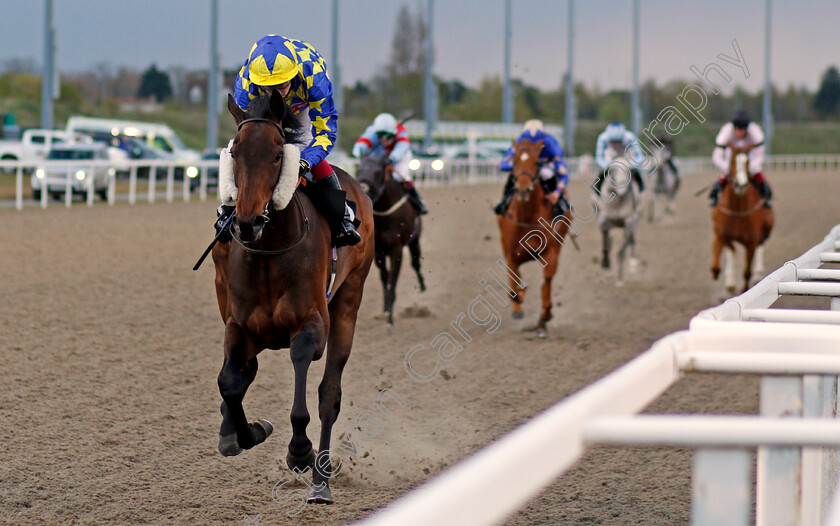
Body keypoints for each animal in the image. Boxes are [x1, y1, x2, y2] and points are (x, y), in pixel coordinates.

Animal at [210, 92, 374, 508]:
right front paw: (248, 430)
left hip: (349, 301)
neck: (270, 249)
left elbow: (301, 369)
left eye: (275, 156)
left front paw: (299, 451)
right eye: (234, 153)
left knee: (329, 395)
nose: (247, 222)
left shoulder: (312, 323)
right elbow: (229, 382)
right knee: (241, 373)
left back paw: (320, 480)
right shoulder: (238, 325)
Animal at [354, 155, 424, 326]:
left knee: (416, 263)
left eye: (378, 172)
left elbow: (392, 281)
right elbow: (385, 280)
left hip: (414, 240)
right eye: (358, 169)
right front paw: (386, 309)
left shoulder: (396, 251)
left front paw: (390, 319)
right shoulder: (378, 252)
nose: (363, 189)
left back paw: (422, 286)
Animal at [496, 138, 576, 340]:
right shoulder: (511, 253)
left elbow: (546, 282)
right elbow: (513, 288)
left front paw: (545, 317)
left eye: (536, 163)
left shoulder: (551, 252)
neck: (528, 218)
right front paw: (519, 304)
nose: (523, 188)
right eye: (514, 161)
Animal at [708, 143, 776, 292]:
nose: (741, 184)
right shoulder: (721, 235)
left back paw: (758, 273)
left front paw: (744, 288)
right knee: (731, 250)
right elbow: (715, 265)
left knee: (760, 245)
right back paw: (730, 281)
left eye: (747, 162)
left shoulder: (751, 241)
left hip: (766, 230)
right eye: (732, 162)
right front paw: (724, 278)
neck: (737, 210)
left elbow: (747, 272)